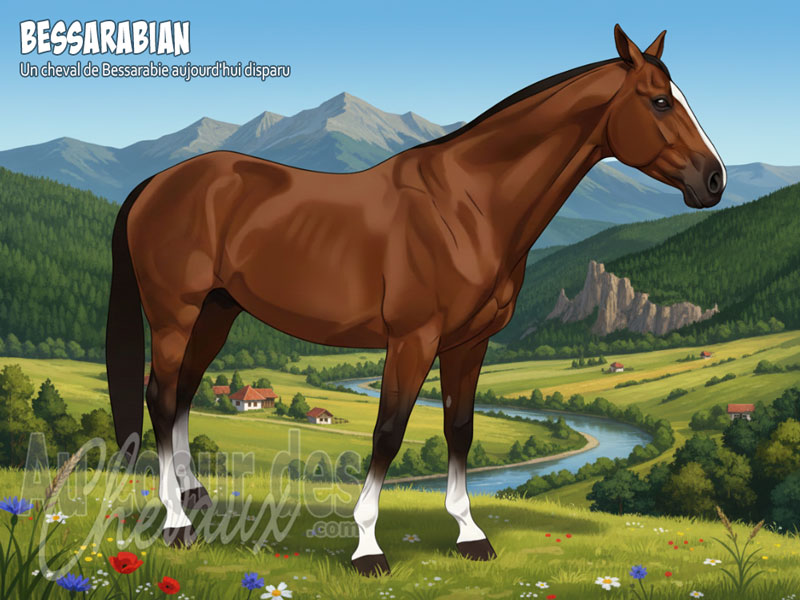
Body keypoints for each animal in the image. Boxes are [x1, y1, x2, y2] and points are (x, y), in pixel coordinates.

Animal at [106, 24, 725, 576]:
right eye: (660, 102)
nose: (714, 180)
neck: (468, 206)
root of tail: (154, 185)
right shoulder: (412, 339)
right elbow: (389, 431)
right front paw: (367, 548)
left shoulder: (469, 343)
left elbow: (460, 430)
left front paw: (470, 535)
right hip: (175, 314)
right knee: (162, 396)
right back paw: (176, 522)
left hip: (216, 312)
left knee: (185, 393)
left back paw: (197, 495)